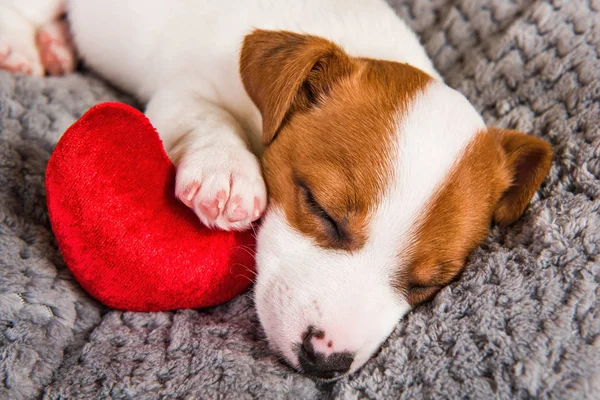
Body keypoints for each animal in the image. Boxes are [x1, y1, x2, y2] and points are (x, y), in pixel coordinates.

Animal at [0, 0, 552, 378]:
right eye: (321, 209)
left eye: (429, 284)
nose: (325, 362)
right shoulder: (187, 89)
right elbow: (206, 117)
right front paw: (226, 173)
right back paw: (24, 46)